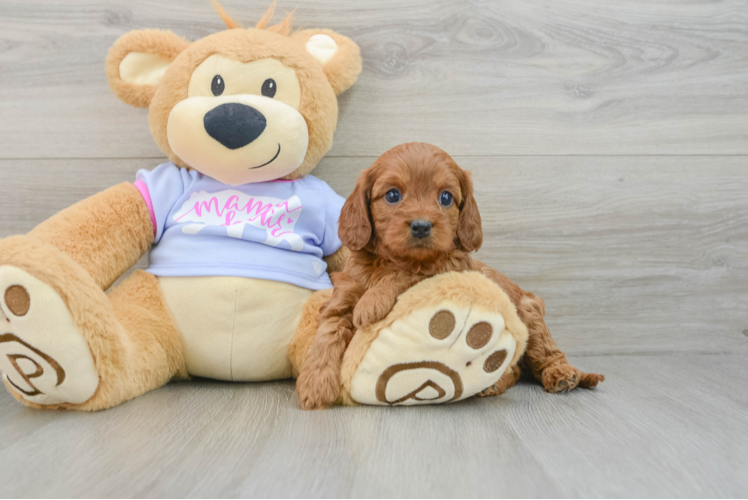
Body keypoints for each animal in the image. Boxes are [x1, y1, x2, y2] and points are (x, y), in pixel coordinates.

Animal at [296, 142, 604, 410]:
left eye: (445, 197)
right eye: (393, 195)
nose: (421, 226)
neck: (389, 260)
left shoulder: (447, 266)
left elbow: (408, 273)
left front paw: (372, 302)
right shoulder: (343, 296)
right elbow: (327, 333)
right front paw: (314, 384)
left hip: (530, 314)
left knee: (546, 355)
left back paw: (562, 374)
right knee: (515, 370)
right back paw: (493, 384)